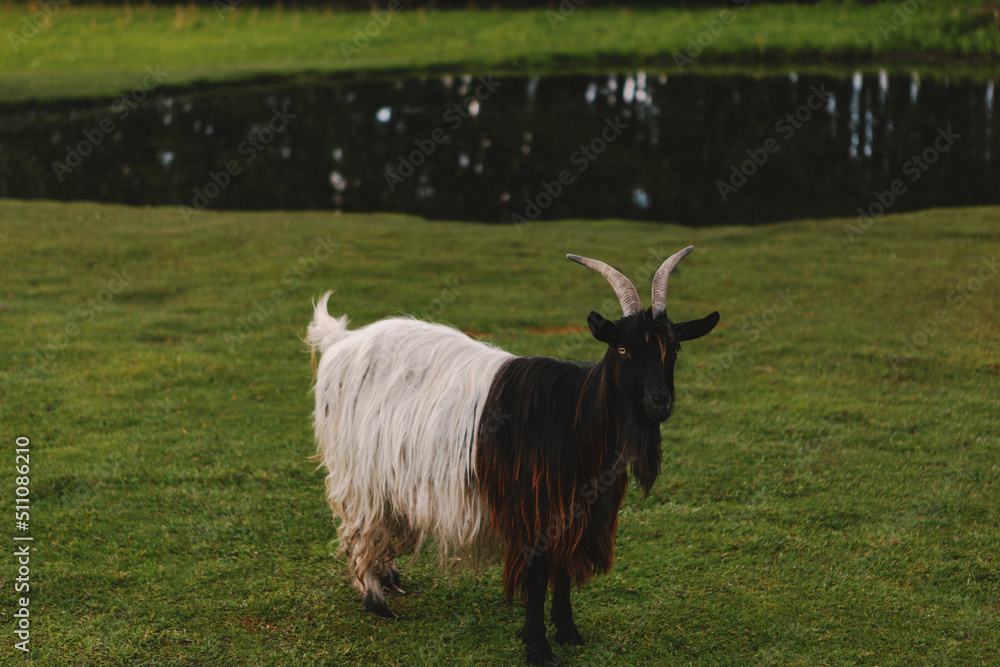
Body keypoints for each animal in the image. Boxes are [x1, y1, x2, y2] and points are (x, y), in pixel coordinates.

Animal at [307, 247, 719, 667]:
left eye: (674, 347)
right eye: (622, 349)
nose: (659, 402)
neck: (575, 415)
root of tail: (343, 341)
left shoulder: (575, 511)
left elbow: (563, 571)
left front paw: (568, 632)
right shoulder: (535, 509)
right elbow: (538, 577)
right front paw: (539, 647)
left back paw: (391, 580)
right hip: (358, 471)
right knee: (361, 528)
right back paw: (376, 600)